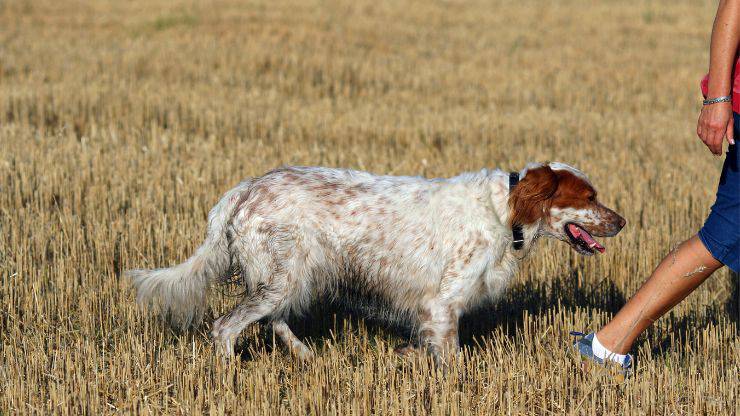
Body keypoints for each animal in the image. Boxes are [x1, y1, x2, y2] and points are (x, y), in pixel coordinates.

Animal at [127, 162, 624, 360]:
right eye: (589, 197)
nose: (621, 222)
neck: (506, 210)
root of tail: (243, 190)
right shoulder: (443, 305)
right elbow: (452, 358)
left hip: (290, 275)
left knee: (274, 319)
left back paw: (306, 355)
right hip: (282, 275)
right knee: (226, 327)